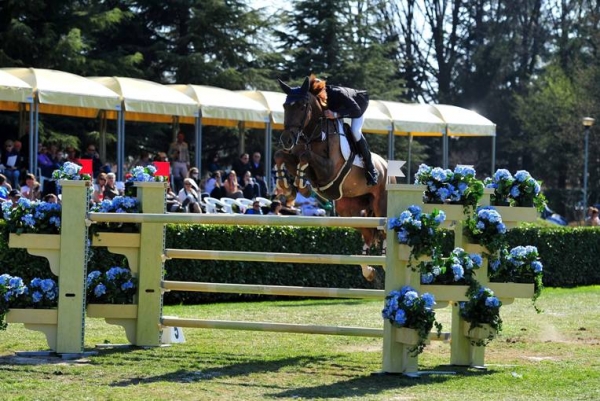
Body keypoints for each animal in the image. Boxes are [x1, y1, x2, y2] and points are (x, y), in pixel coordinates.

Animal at [276, 76, 396, 280]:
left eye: (301, 106)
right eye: (285, 105)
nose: (286, 140)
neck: (315, 134)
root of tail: (388, 169)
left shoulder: (329, 171)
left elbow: (305, 157)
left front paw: (301, 186)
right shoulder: (296, 157)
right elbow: (282, 156)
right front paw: (287, 187)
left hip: (381, 206)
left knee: (383, 232)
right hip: (348, 210)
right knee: (368, 233)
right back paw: (369, 270)